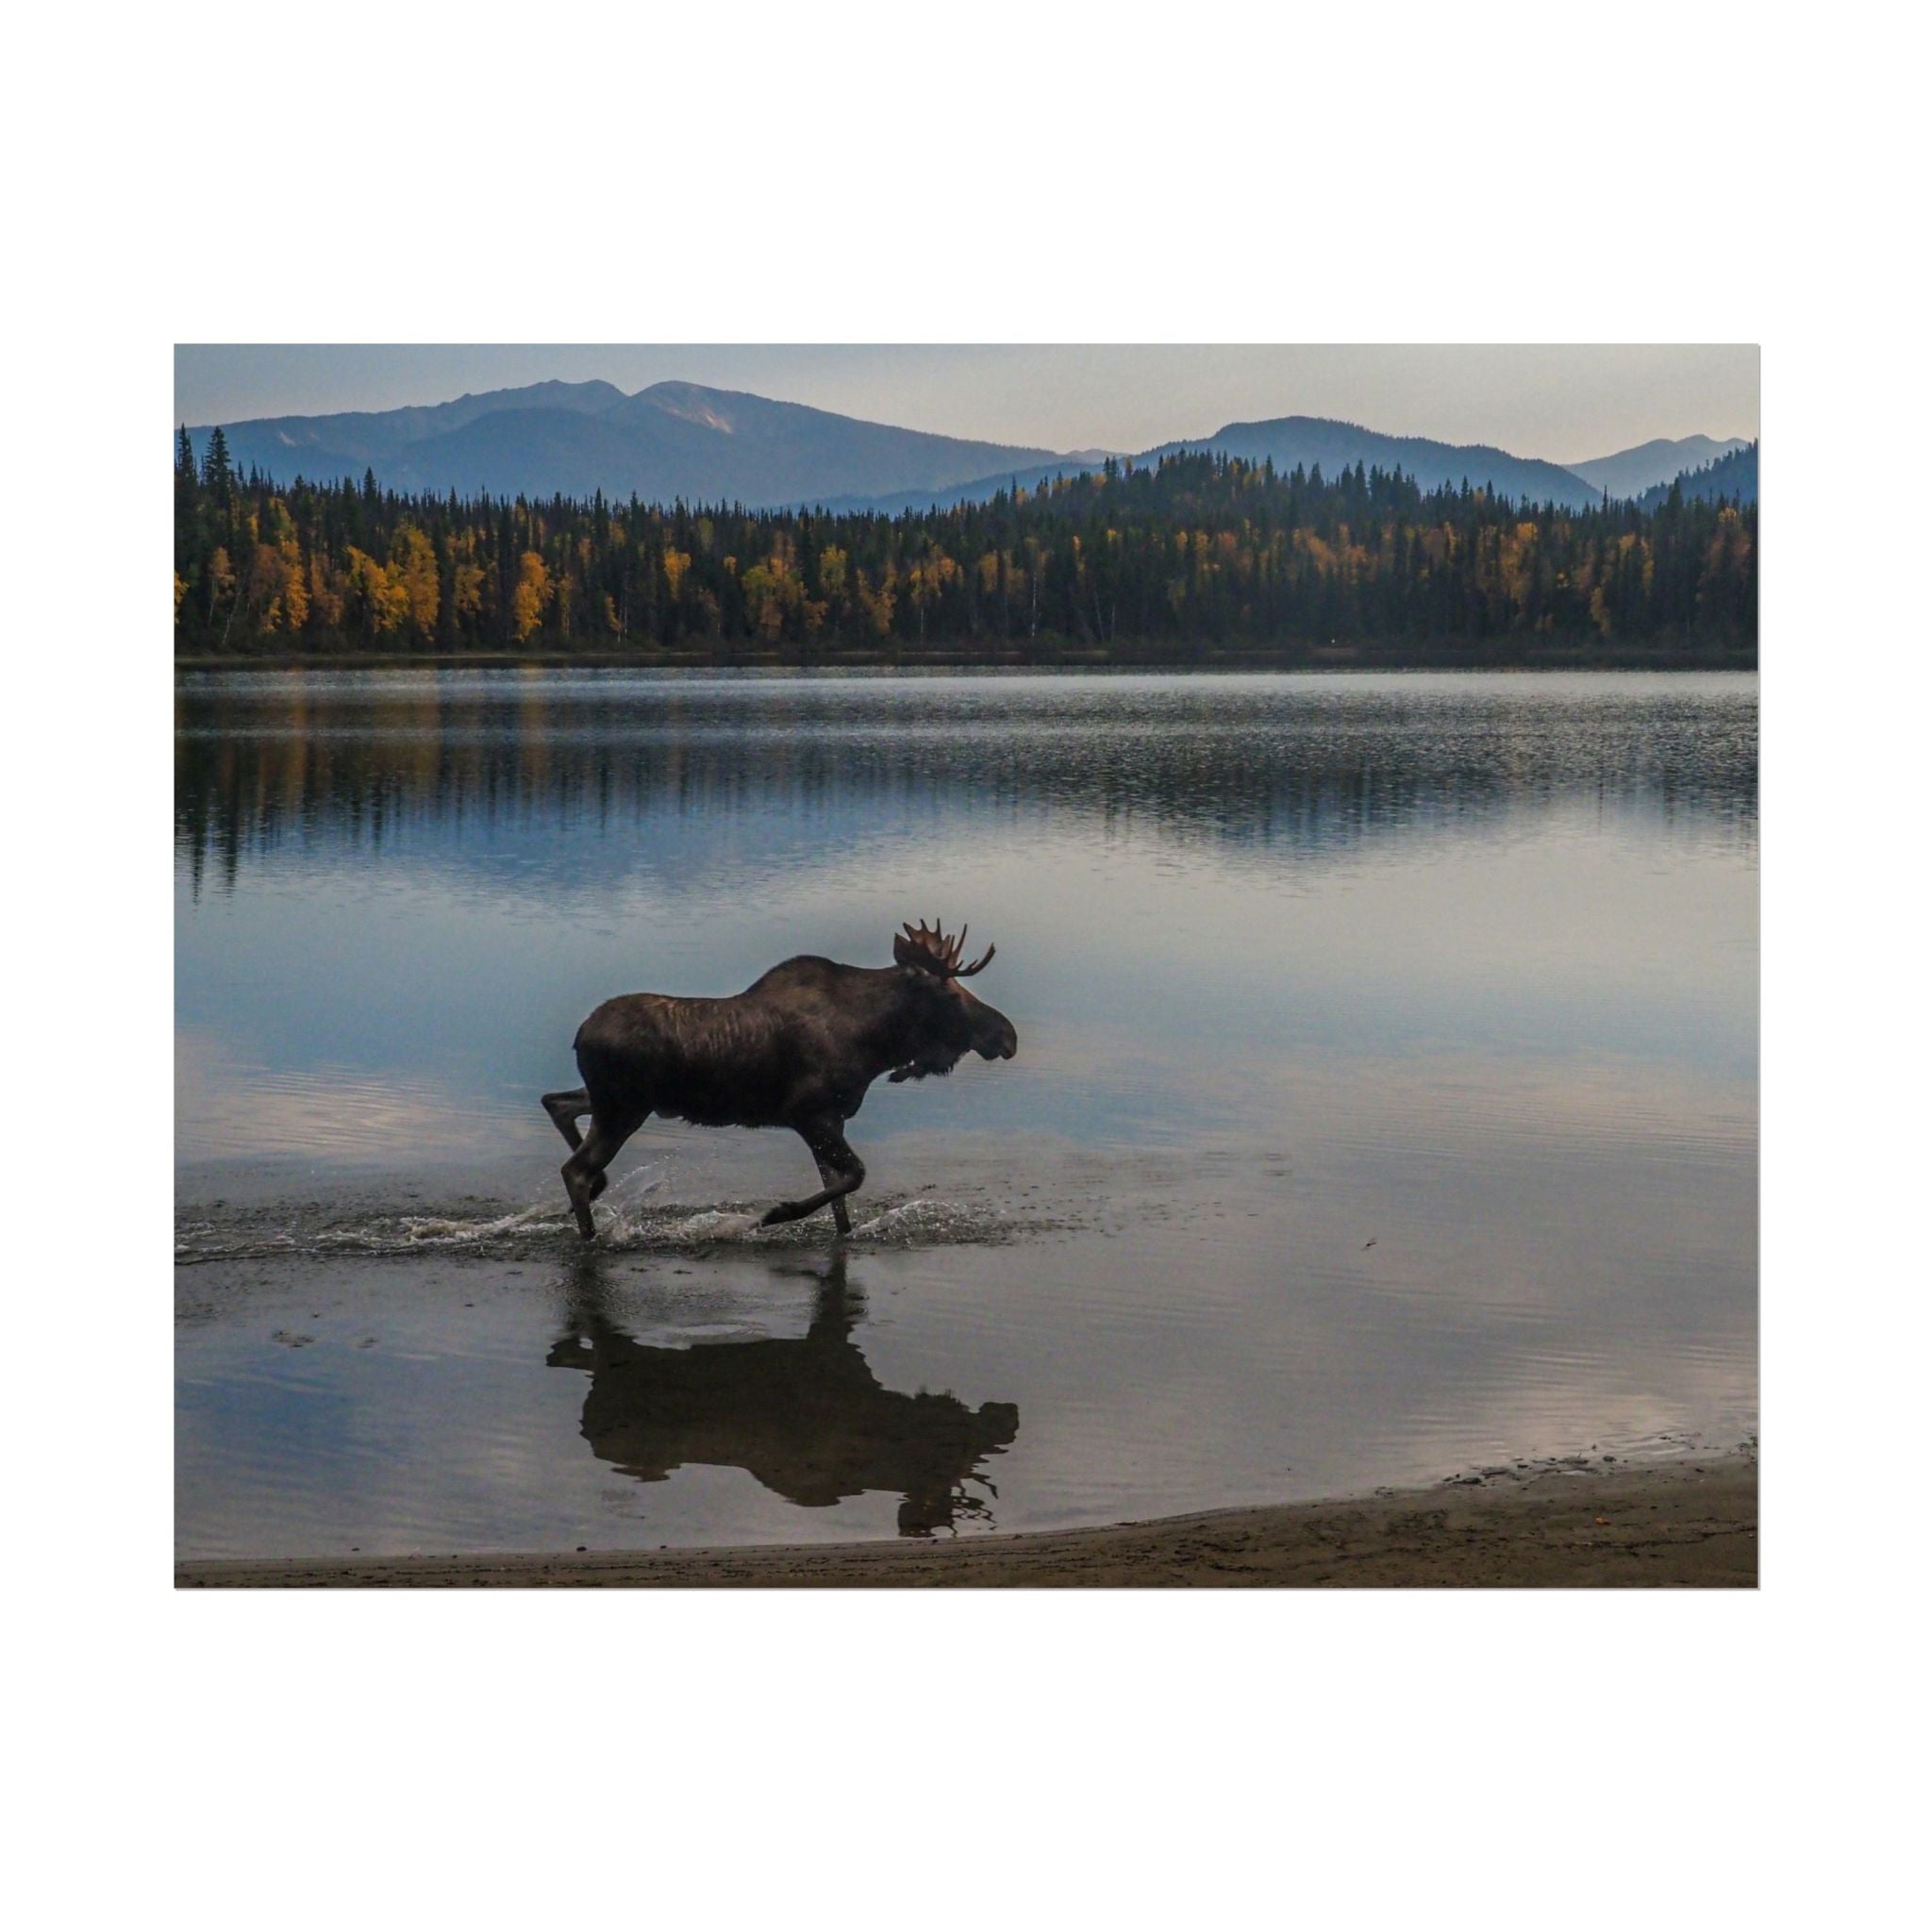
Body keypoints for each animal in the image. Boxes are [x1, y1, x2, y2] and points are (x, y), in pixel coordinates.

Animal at [542, 919, 1018, 1240]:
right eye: (950, 993)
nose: (1007, 1036)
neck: (875, 1044)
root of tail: (579, 1035)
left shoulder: (832, 1119)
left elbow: (840, 1198)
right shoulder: (809, 1114)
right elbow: (855, 1176)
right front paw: (776, 1214)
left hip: (616, 1101)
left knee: (557, 1103)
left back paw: (600, 1189)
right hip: (622, 1108)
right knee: (575, 1169)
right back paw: (590, 1232)